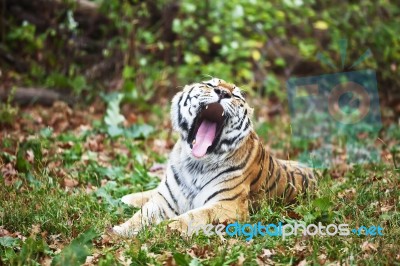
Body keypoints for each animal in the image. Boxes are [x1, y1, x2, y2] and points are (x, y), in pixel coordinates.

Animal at [112, 77, 316, 237]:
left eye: (236, 95)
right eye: (210, 84)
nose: (223, 92)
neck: (195, 163)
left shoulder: (228, 205)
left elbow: (191, 217)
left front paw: (162, 230)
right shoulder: (165, 200)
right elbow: (142, 215)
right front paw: (119, 231)